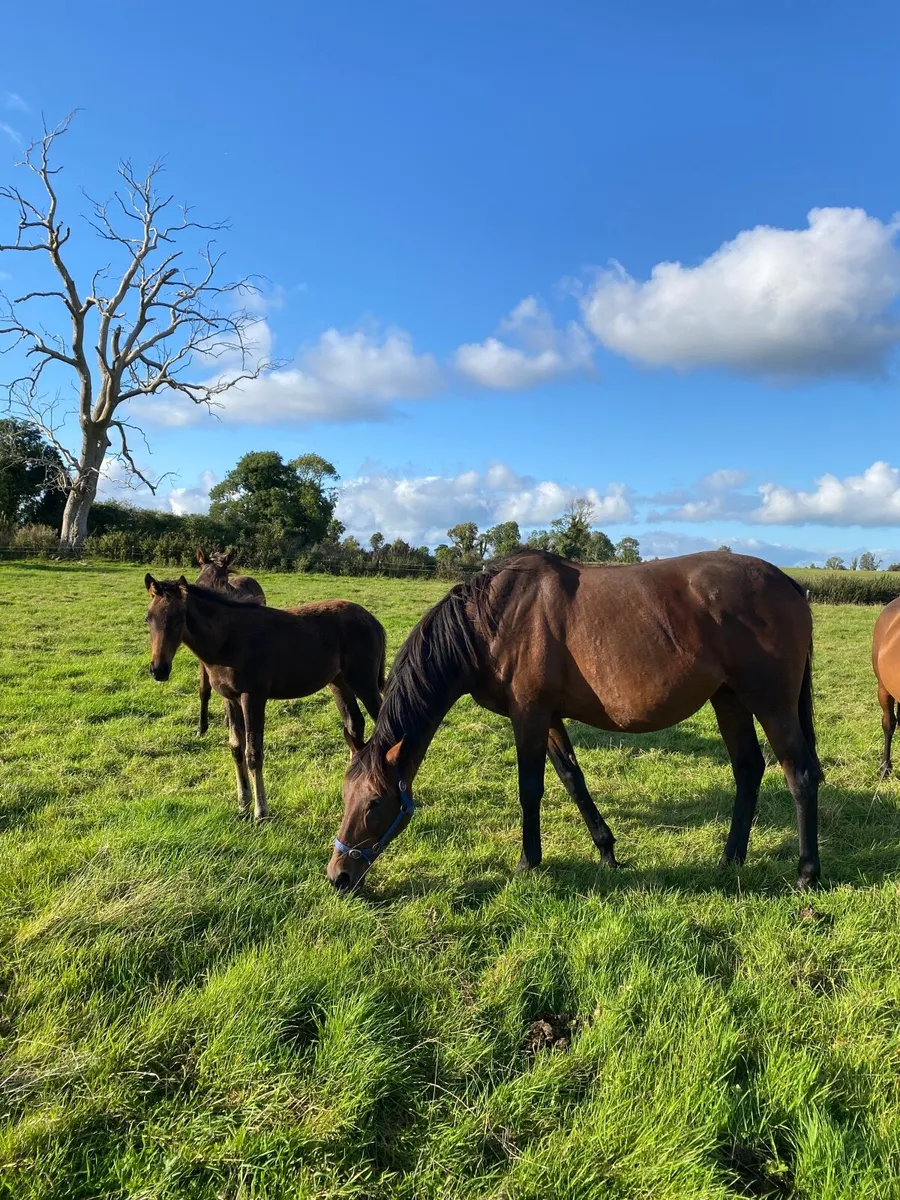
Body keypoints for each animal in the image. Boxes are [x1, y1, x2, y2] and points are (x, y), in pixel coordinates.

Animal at [144, 575, 386, 822]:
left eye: (178, 618)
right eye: (148, 618)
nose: (159, 670)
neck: (227, 641)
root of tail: (372, 620)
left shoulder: (253, 697)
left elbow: (253, 752)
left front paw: (261, 812)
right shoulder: (230, 699)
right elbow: (236, 748)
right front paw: (243, 804)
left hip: (363, 681)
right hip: (339, 682)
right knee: (354, 722)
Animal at [329, 550, 822, 891]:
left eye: (375, 803)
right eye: (345, 796)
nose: (338, 875)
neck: (495, 618)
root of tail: (789, 582)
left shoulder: (528, 716)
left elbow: (530, 789)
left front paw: (528, 861)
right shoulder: (547, 717)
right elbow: (572, 778)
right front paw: (607, 852)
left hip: (771, 703)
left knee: (798, 774)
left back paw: (806, 873)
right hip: (730, 701)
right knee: (748, 769)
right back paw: (731, 858)